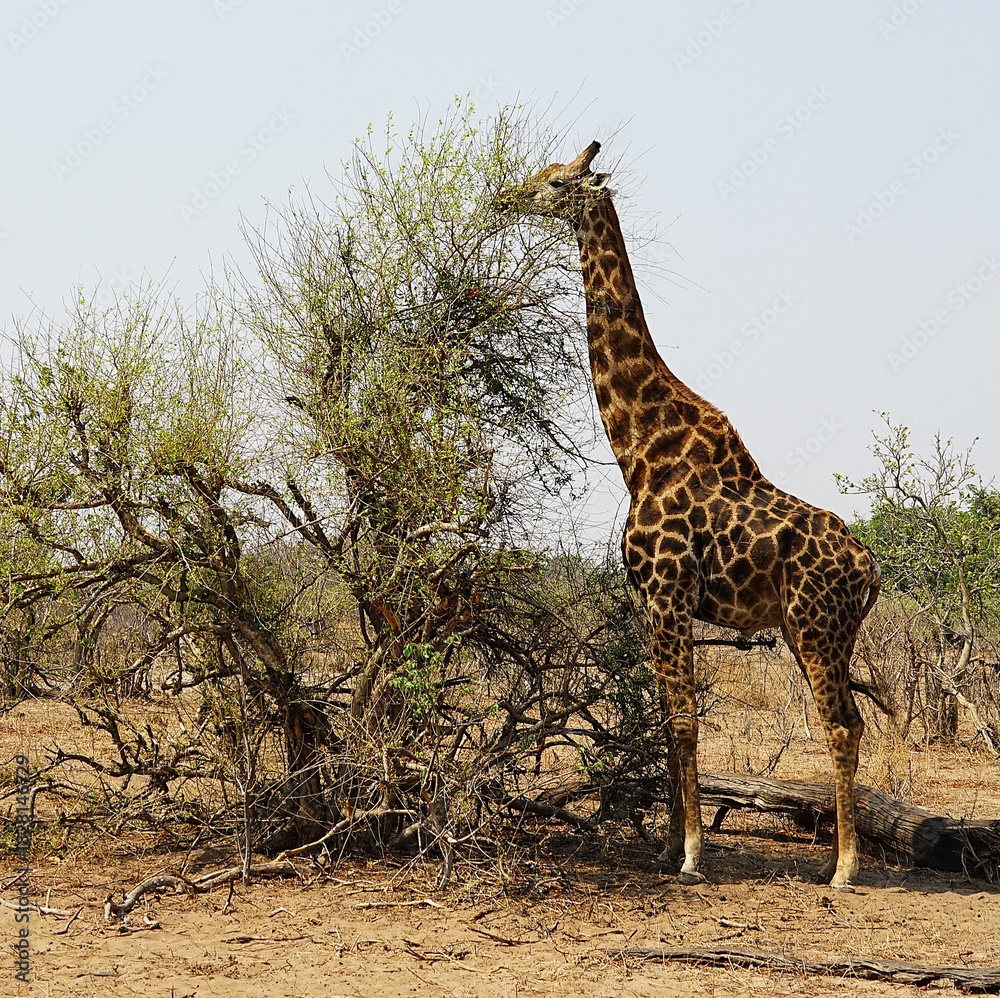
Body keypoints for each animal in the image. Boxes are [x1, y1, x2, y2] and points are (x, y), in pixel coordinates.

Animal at [504, 141, 881, 888]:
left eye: (555, 182)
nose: (506, 198)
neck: (640, 446)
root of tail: (871, 568)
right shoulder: (652, 600)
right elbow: (662, 719)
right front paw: (664, 847)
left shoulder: (670, 592)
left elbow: (681, 720)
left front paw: (692, 856)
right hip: (822, 630)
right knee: (851, 720)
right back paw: (830, 855)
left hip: (815, 626)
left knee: (840, 724)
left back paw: (846, 868)